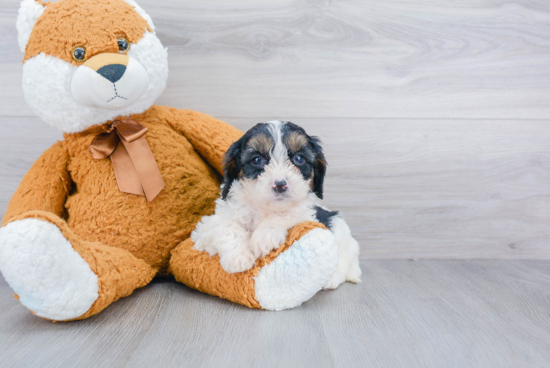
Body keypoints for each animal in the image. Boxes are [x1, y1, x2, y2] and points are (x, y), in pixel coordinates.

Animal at [192, 122, 364, 288]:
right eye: (257, 160)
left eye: (299, 158)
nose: (280, 185)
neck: (263, 208)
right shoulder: (207, 225)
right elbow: (225, 226)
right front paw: (238, 257)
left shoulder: (306, 215)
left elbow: (286, 214)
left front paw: (264, 235)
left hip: (339, 228)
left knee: (346, 254)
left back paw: (333, 278)